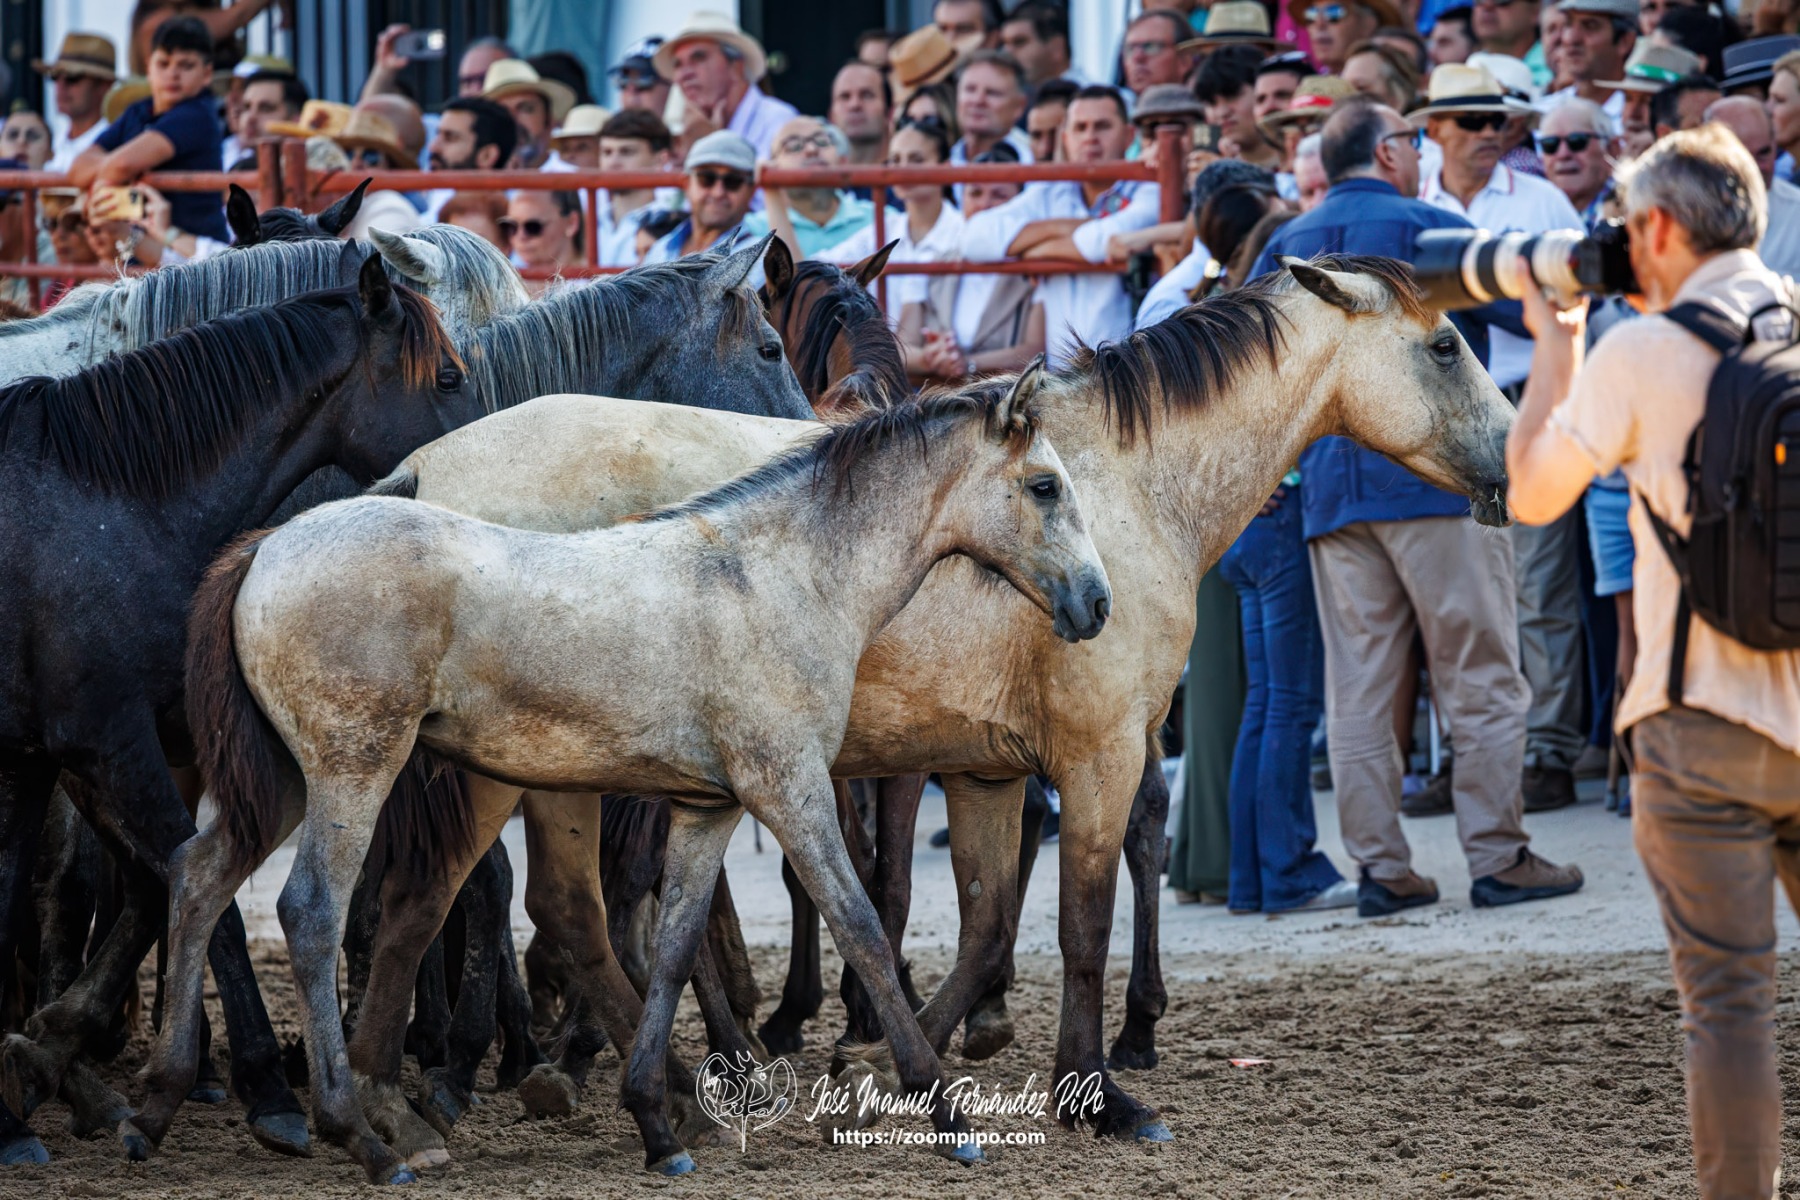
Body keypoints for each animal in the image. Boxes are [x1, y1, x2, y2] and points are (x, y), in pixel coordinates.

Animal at [0, 255, 478, 1167]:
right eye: (446, 376)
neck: (100, 504)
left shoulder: (48, 758)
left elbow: (124, 892)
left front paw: (44, 1056)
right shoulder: (108, 745)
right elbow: (184, 889)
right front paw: (266, 1093)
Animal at [145, 374, 1110, 1184]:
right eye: (1045, 487)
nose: (1097, 604)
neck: (775, 577)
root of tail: (269, 548)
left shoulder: (708, 807)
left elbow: (676, 946)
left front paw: (655, 1122)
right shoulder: (789, 790)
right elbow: (862, 927)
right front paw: (945, 1114)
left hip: (282, 781)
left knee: (197, 876)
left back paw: (157, 1102)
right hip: (353, 768)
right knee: (309, 910)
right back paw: (361, 1136)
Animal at [299, 256, 1515, 1168]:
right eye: (1446, 346)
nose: (1515, 460)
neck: (1122, 488)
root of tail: (418, 470)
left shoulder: (985, 772)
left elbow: (980, 924)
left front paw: (891, 1059)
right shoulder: (1101, 757)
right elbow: (1074, 925)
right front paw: (1095, 1092)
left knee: (507, 910)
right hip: (503, 774)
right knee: (464, 908)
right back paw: (431, 1100)